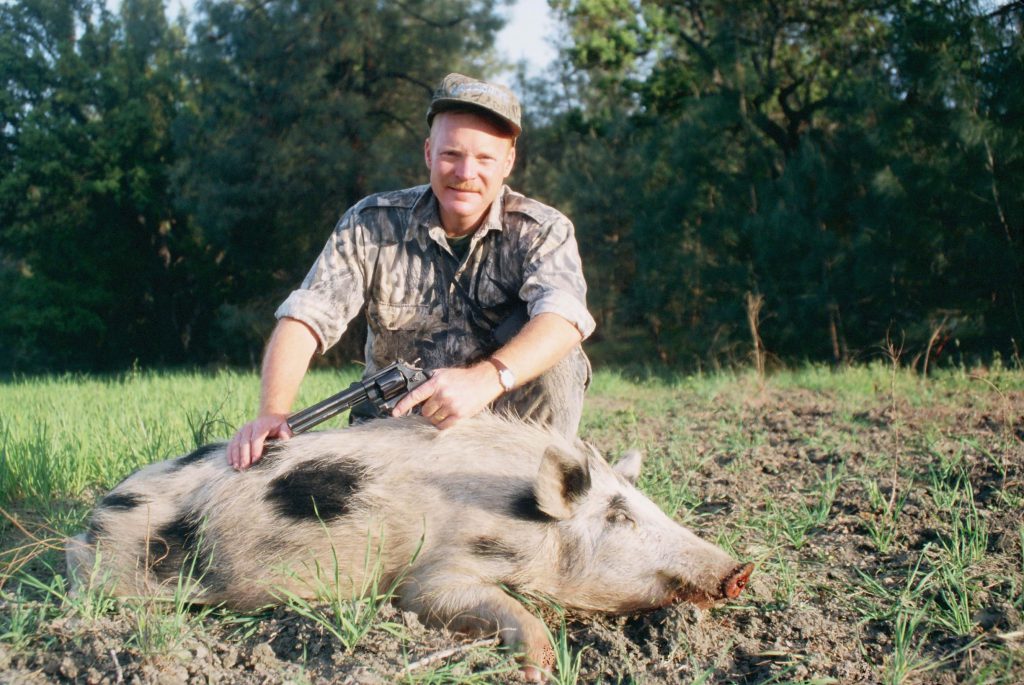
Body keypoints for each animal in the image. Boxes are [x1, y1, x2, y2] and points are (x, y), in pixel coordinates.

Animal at [66, 411, 753, 679]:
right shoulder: (428, 574)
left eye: (648, 505)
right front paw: (541, 667)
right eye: (617, 515)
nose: (741, 570)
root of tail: (90, 519)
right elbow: (464, 601)